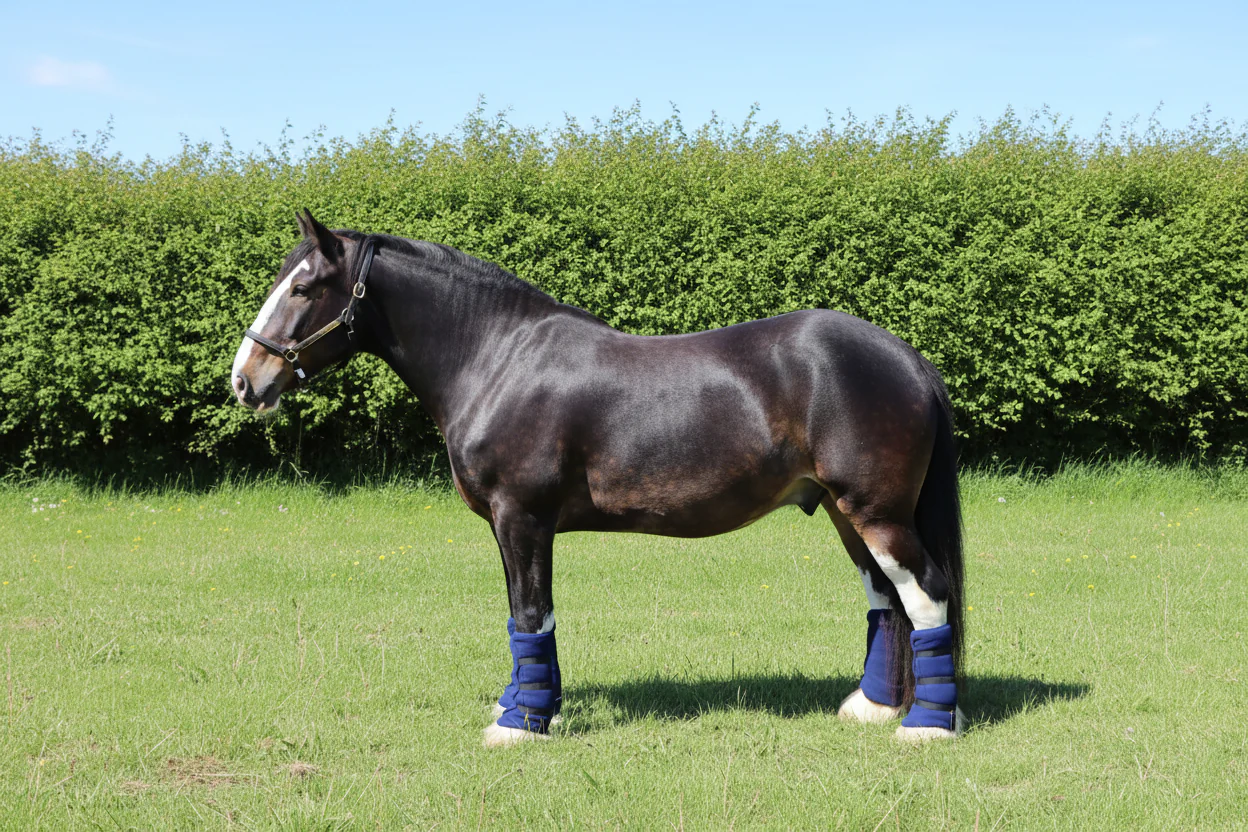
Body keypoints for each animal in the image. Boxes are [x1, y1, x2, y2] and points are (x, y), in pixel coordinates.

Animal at [231, 210, 966, 747]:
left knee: (927, 594)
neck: (497, 359)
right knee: (887, 600)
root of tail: (907, 358)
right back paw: (875, 709)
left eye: (303, 288)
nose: (245, 380)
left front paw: (519, 726)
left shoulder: (522, 516)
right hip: (848, 513)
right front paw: (530, 706)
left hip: (876, 511)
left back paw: (926, 727)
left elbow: (532, 612)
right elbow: (521, 613)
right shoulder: (509, 526)